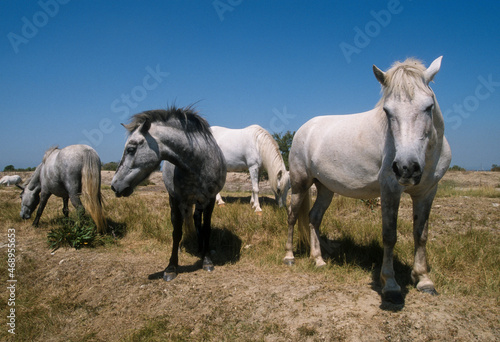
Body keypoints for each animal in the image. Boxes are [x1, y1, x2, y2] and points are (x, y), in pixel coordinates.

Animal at [111, 106, 227, 280]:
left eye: (131, 149)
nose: (114, 185)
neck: (198, 166)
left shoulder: (210, 199)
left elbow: (207, 228)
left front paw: (207, 260)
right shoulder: (175, 199)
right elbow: (176, 232)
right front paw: (171, 267)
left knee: (197, 219)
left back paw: (201, 248)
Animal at [286, 56, 454, 304]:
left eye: (428, 106)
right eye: (387, 110)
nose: (406, 168)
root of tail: (304, 129)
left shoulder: (427, 192)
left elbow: (421, 235)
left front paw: (424, 280)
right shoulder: (390, 190)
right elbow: (389, 235)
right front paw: (391, 285)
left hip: (325, 188)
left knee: (314, 218)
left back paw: (318, 260)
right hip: (300, 184)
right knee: (292, 215)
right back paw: (289, 256)